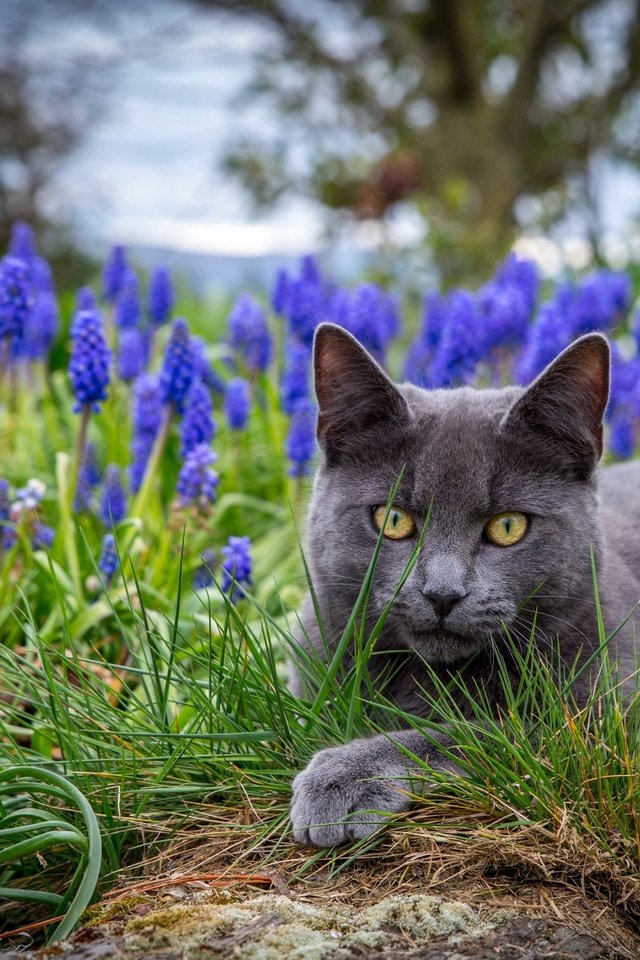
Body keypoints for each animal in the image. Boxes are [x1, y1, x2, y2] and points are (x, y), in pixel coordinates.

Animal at [292, 324, 640, 848]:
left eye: (508, 526)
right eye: (392, 519)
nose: (442, 593)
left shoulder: (602, 728)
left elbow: (476, 733)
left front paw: (346, 774)